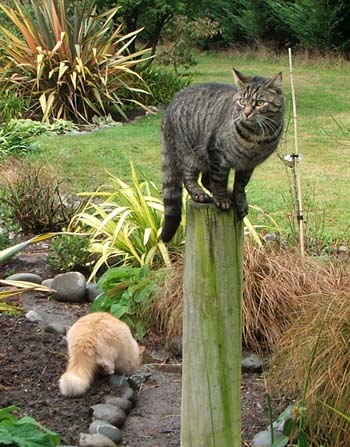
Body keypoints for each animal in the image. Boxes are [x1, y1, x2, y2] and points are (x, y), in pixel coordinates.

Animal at [160, 67, 284, 242]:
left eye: (260, 103)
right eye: (242, 102)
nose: (246, 113)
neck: (255, 137)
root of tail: (170, 105)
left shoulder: (247, 165)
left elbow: (240, 186)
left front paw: (239, 201)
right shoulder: (218, 155)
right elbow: (219, 180)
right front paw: (221, 200)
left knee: (206, 179)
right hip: (192, 153)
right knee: (189, 176)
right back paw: (199, 194)